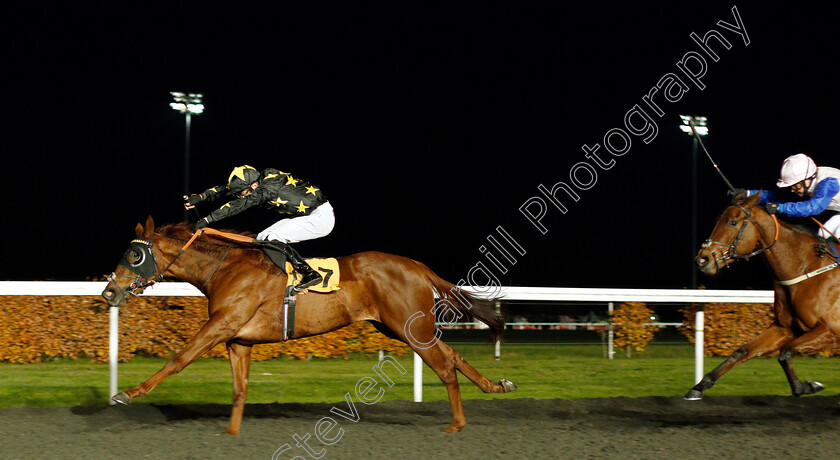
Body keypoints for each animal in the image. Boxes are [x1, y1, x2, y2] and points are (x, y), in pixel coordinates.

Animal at [101, 217, 516, 434]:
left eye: (134, 254)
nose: (109, 292)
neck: (227, 267)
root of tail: (417, 265)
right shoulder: (239, 339)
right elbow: (239, 388)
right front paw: (232, 432)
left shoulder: (222, 324)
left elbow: (180, 358)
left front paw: (127, 394)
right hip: (402, 328)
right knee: (453, 356)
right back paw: (497, 386)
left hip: (410, 329)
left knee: (445, 366)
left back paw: (457, 424)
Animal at [684, 193, 840, 398]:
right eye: (718, 220)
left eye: (733, 222)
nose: (702, 260)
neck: (806, 269)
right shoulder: (784, 328)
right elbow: (743, 351)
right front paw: (699, 386)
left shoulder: (832, 330)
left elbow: (785, 353)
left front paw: (808, 386)